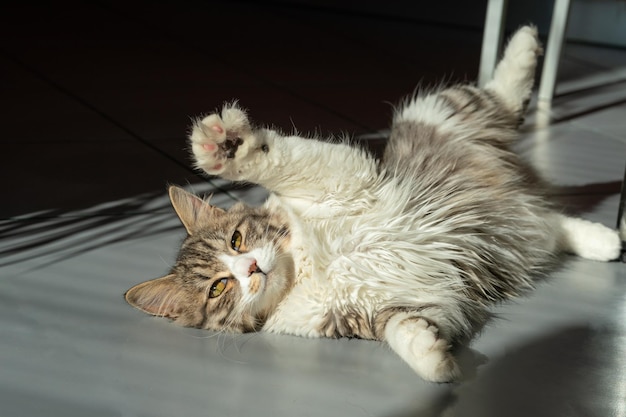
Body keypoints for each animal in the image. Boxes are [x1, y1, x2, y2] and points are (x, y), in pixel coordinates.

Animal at [123, 26, 620, 382]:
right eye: (217, 288)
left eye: (238, 238)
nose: (250, 268)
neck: (308, 264)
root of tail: (520, 192)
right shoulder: (376, 309)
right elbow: (402, 331)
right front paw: (435, 360)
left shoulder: (340, 177)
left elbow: (271, 161)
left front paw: (222, 148)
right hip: (522, 222)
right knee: (556, 226)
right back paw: (607, 240)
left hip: (435, 110)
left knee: (505, 94)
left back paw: (526, 42)